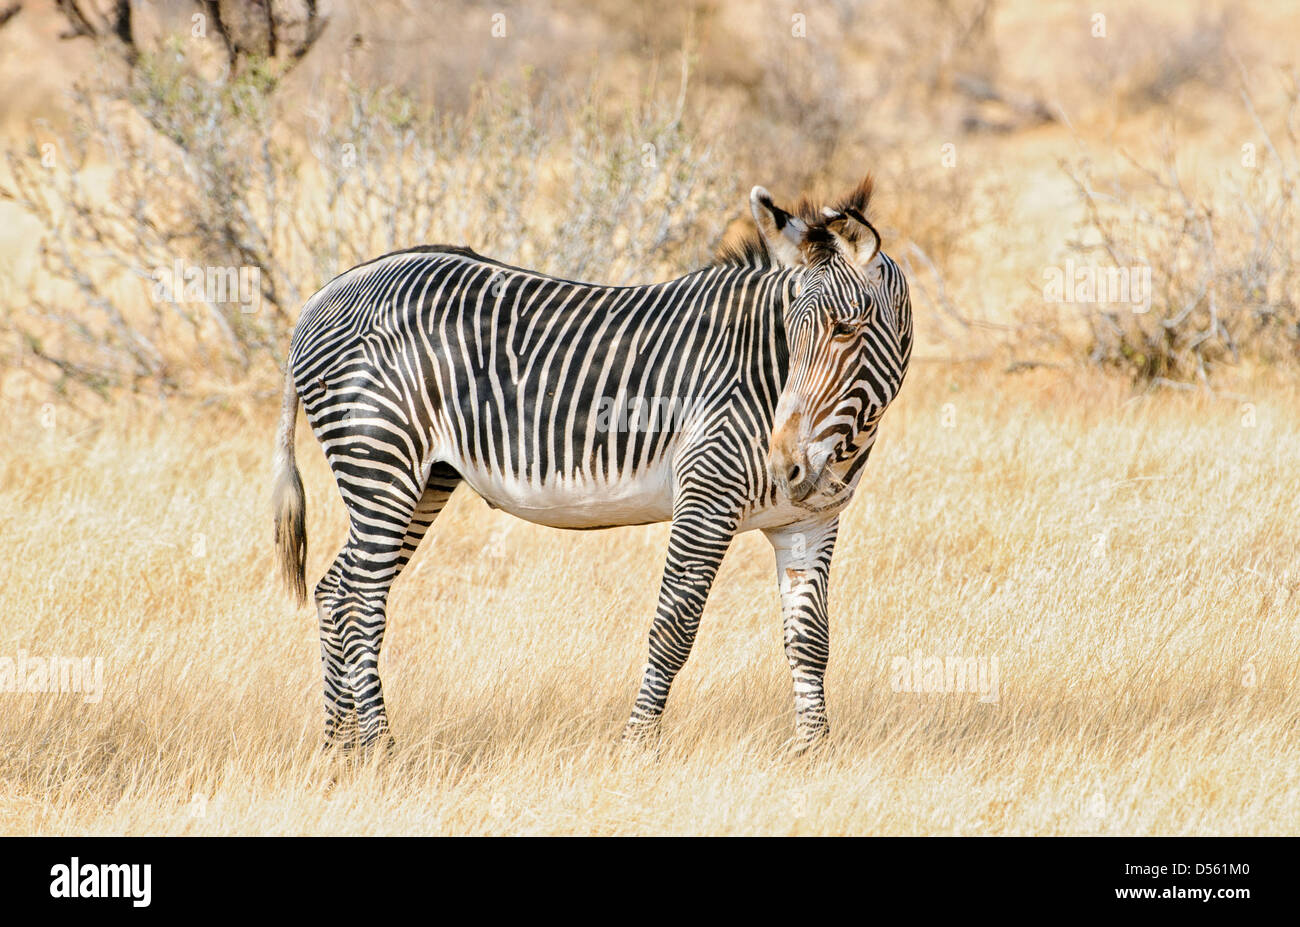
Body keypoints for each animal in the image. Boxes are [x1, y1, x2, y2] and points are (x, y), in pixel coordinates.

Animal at [270, 175, 909, 754]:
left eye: (846, 330)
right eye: (787, 331)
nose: (785, 468)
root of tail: (324, 293)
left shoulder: (809, 523)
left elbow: (811, 639)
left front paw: (813, 753)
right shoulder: (706, 496)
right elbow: (674, 627)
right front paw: (636, 749)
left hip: (424, 478)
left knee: (333, 591)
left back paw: (339, 749)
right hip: (380, 460)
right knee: (359, 599)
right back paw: (382, 748)